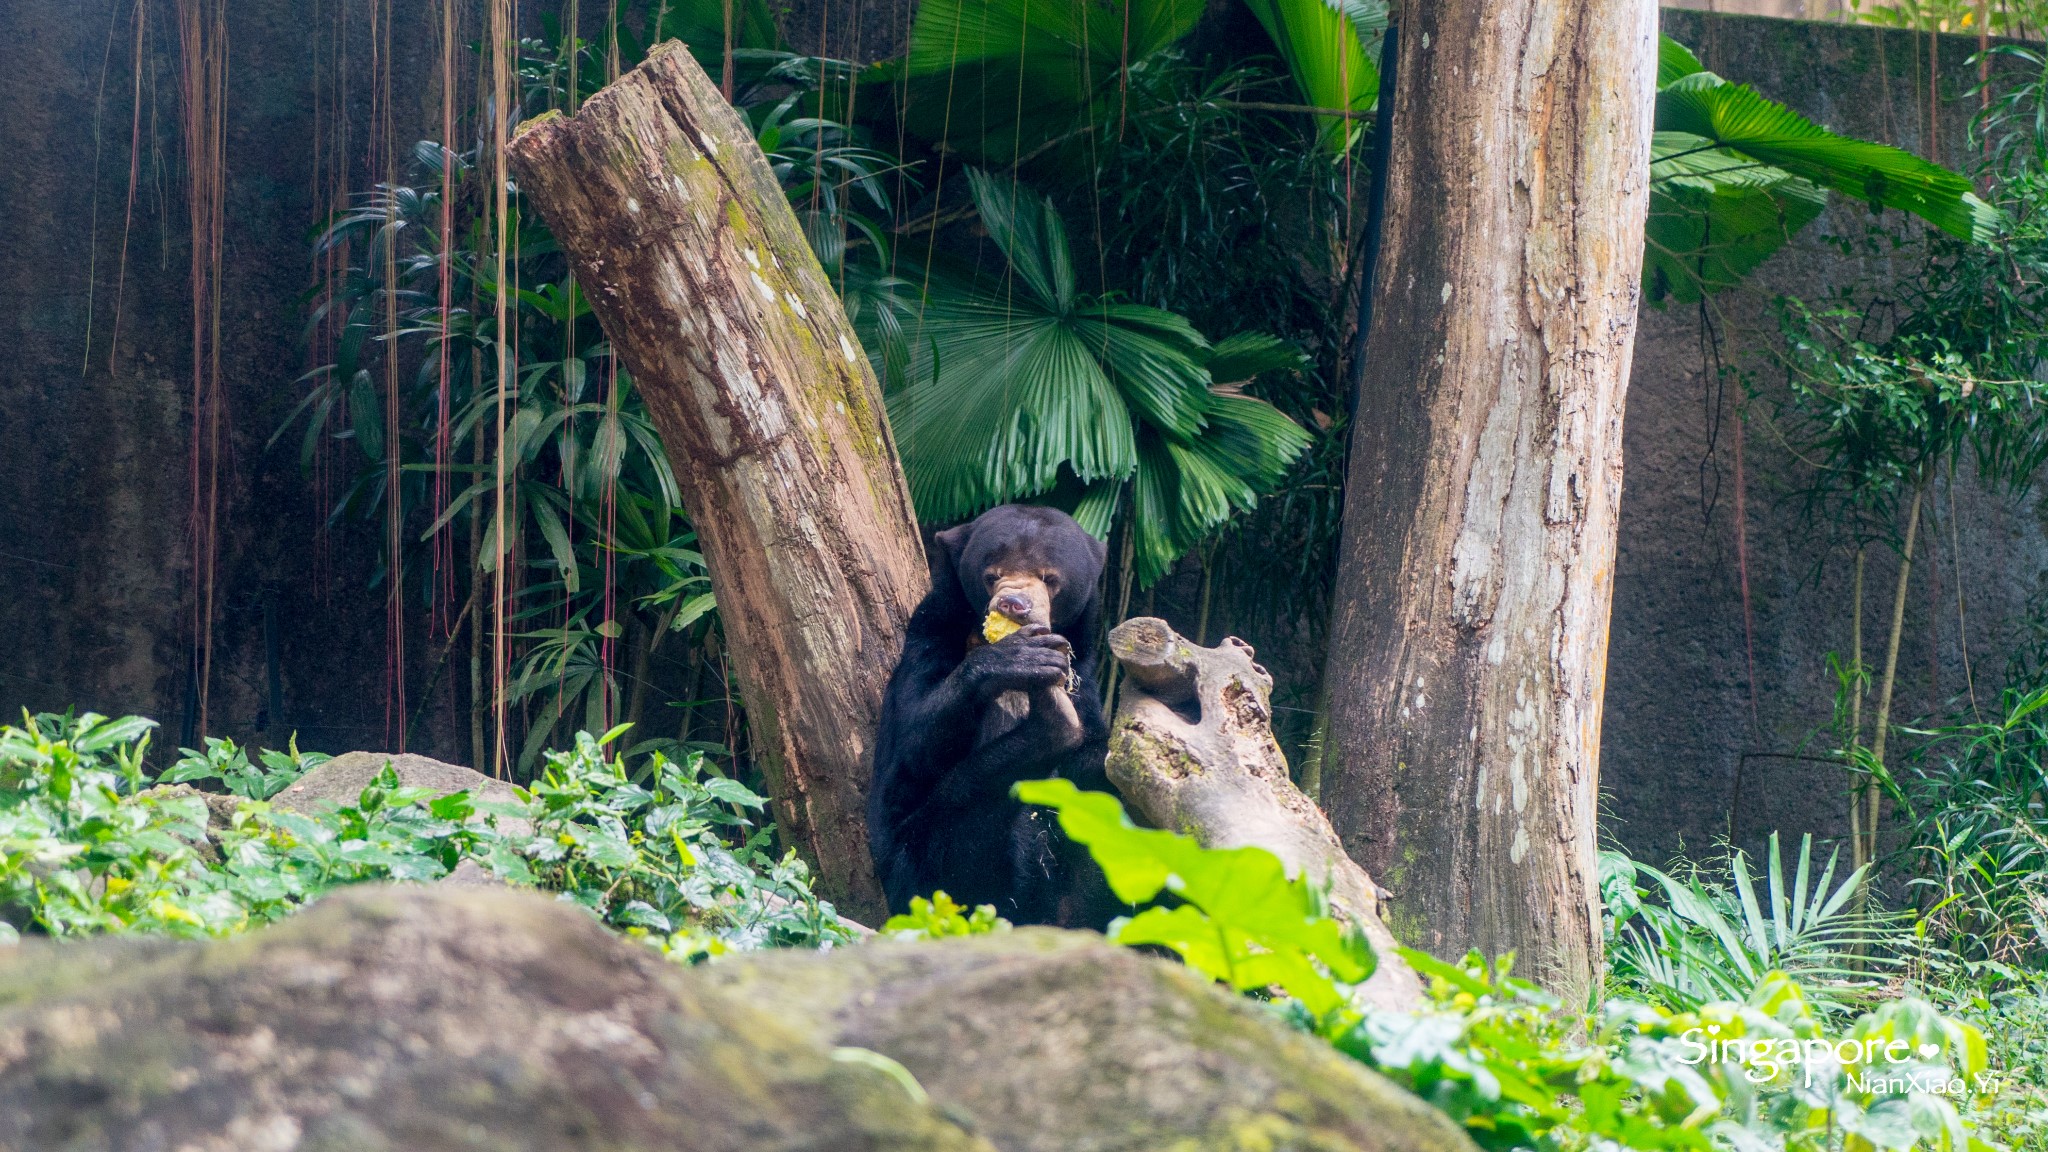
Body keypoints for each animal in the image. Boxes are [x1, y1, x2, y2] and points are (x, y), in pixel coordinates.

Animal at [864, 502, 1122, 922]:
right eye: (992, 576)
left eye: (1050, 578)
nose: (1013, 604)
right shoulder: (929, 637)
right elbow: (910, 747)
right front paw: (1022, 658)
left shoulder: (1084, 671)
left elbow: (1091, 758)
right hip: (924, 868)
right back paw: (1054, 724)